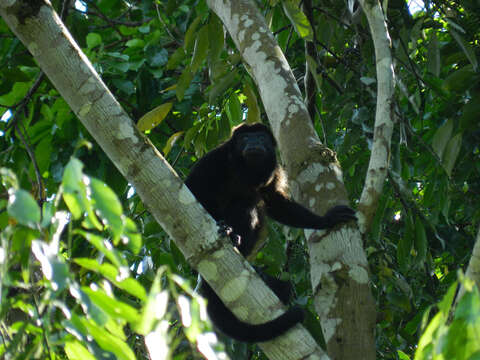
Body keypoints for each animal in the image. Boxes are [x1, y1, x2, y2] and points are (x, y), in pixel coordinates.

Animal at [186, 124, 354, 344]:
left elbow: (276, 202)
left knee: (247, 205)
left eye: (260, 137)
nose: (254, 142)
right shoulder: (215, 159)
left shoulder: (274, 171)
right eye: (246, 137)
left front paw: (326, 220)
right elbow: (192, 188)